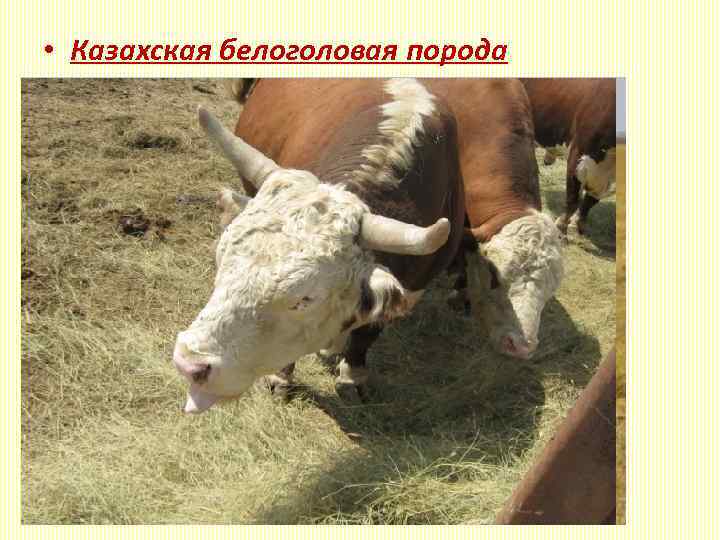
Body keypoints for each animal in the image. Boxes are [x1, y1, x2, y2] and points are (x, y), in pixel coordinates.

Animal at [173, 79, 465, 412]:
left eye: (304, 299)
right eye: (221, 261)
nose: (188, 364)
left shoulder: (412, 288)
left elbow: (367, 333)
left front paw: (352, 377)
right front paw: (280, 376)